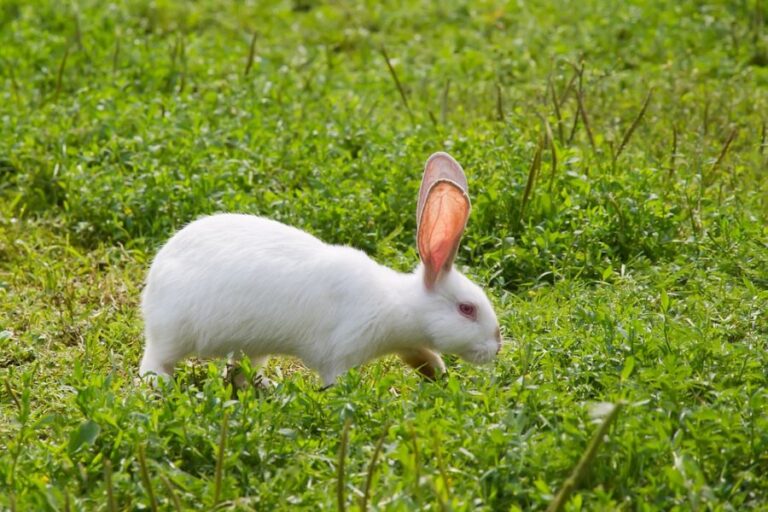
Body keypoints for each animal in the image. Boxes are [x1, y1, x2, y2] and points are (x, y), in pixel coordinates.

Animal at [139, 152, 502, 387]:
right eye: (467, 309)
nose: (496, 346)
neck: (400, 305)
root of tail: (152, 284)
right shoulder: (340, 354)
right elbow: (337, 383)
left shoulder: (408, 344)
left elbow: (423, 355)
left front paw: (440, 375)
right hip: (172, 335)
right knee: (154, 363)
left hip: (250, 348)